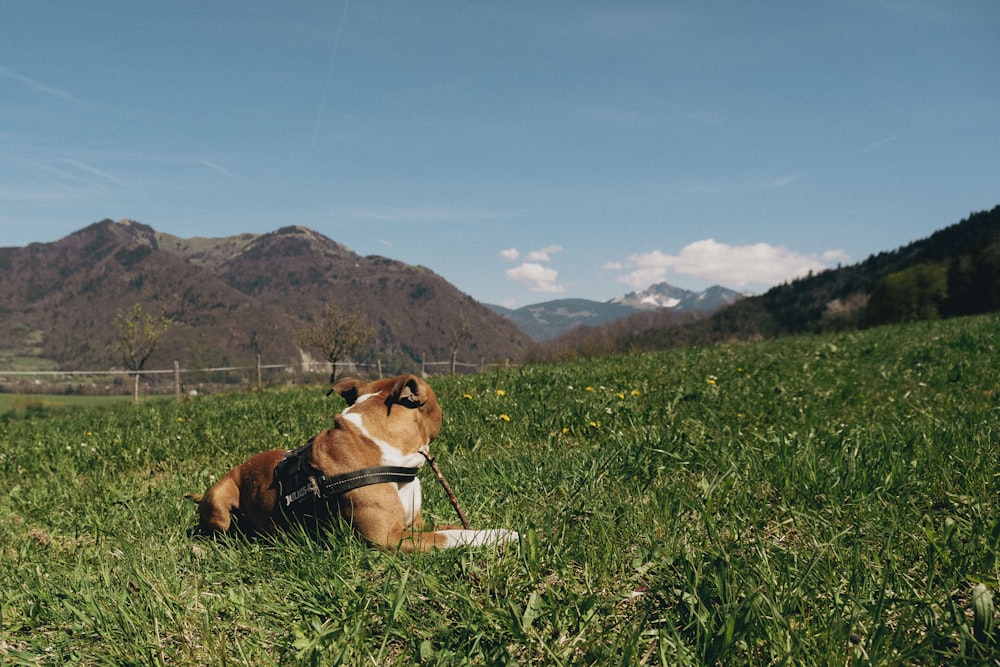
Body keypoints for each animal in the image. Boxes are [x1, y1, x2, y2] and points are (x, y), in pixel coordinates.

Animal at [188, 376, 520, 552]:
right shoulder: (388, 538)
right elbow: (451, 535)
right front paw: (497, 536)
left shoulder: (413, 525)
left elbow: (449, 526)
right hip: (219, 501)